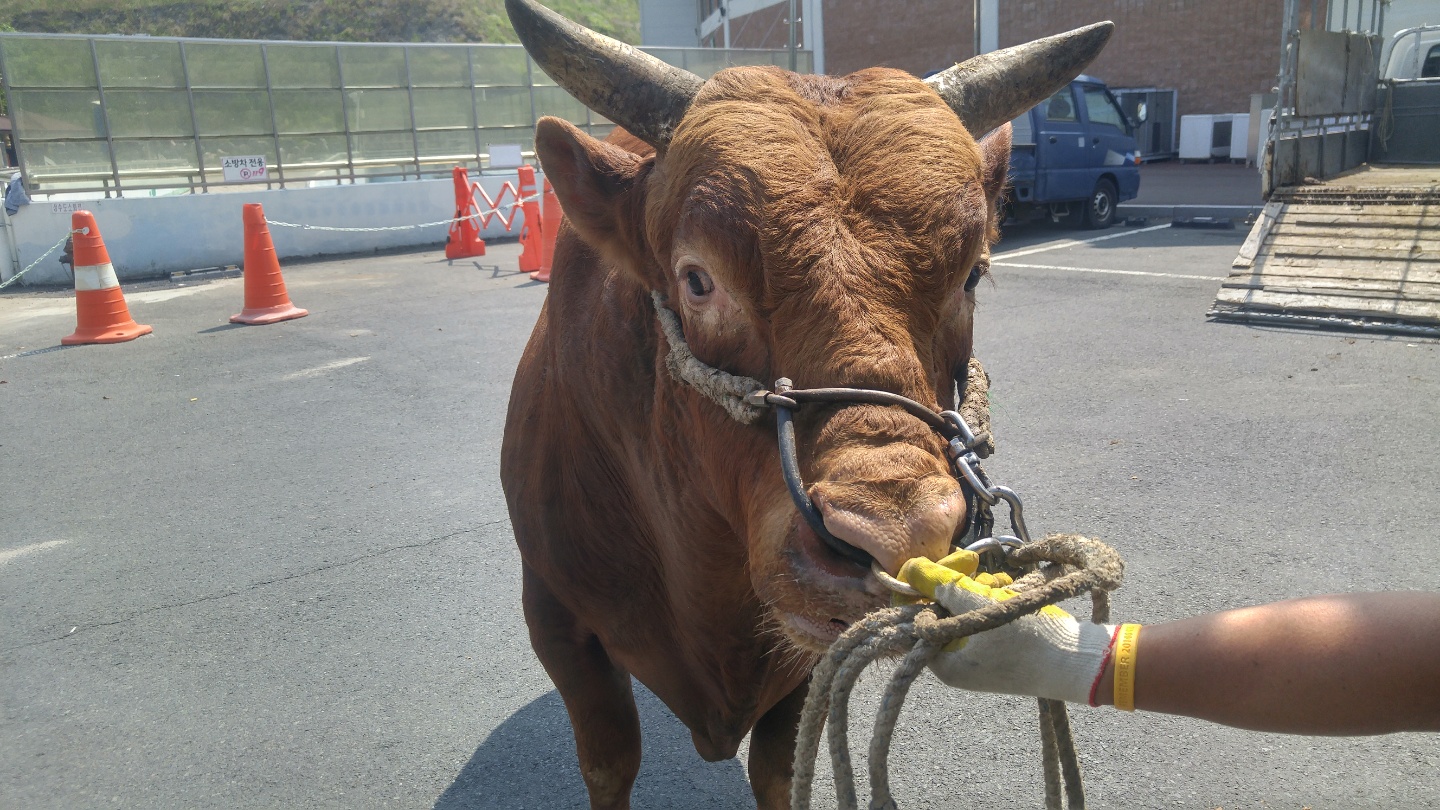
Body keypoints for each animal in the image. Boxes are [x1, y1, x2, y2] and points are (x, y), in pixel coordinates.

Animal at [498, 3, 1111, 801]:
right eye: (698, 279)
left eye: (973, 273)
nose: (900, 532)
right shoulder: (557, 620)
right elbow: (609, 761)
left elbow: (779, 766)